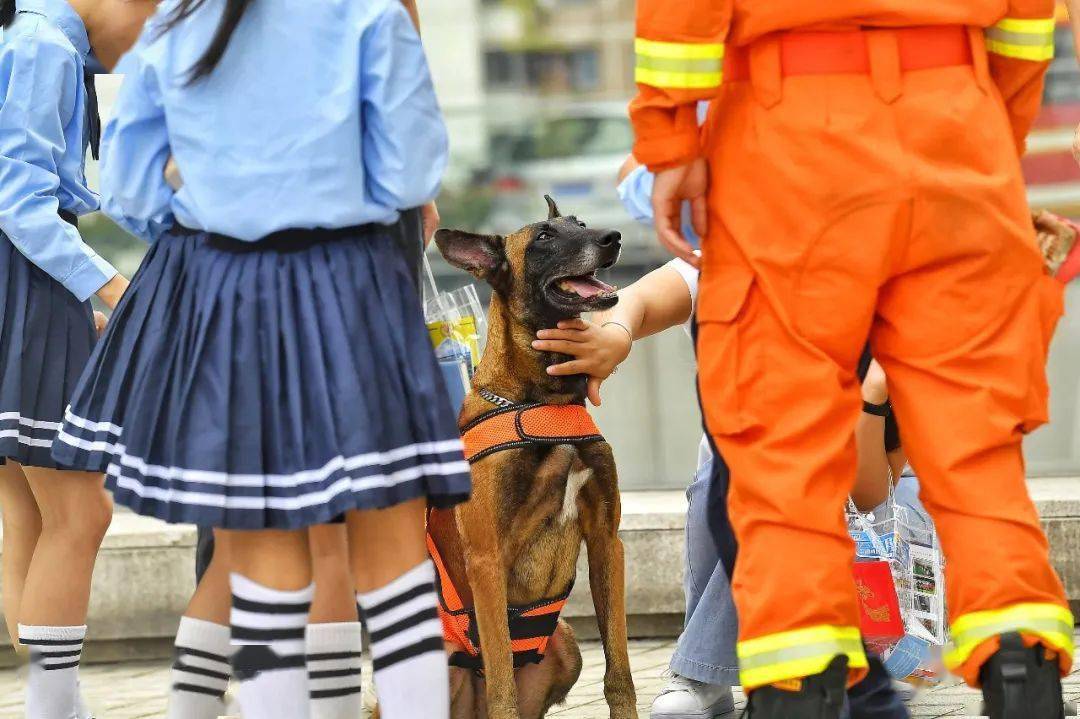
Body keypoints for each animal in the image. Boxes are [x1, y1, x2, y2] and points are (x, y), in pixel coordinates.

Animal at [425, 196, 635, 716]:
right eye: (543, 238)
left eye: (580, 224)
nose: (613, 238)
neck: (542, 402)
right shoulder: (486, 561)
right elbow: (503, 689)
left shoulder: (607, 541)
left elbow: (619, 670)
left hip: (567, 642)